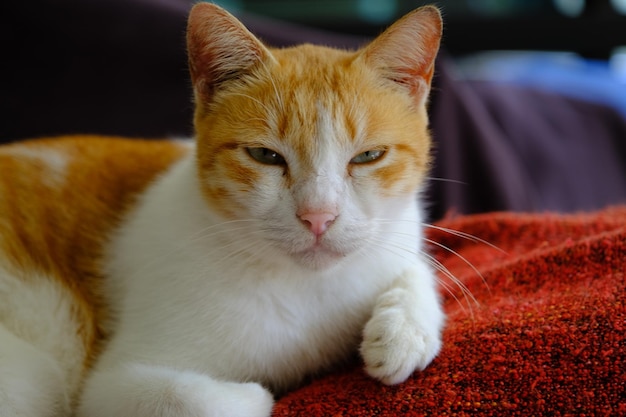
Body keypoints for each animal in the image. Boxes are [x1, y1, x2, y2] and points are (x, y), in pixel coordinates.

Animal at [1, 4, 444, 416]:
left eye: (368, 156)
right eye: (265, 156)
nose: (318, 216)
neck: (306, 286)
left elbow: (416, 267)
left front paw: (403, 332)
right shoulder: (113, 387)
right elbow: (203, 398)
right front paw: (257, 391)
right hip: (34, 376)